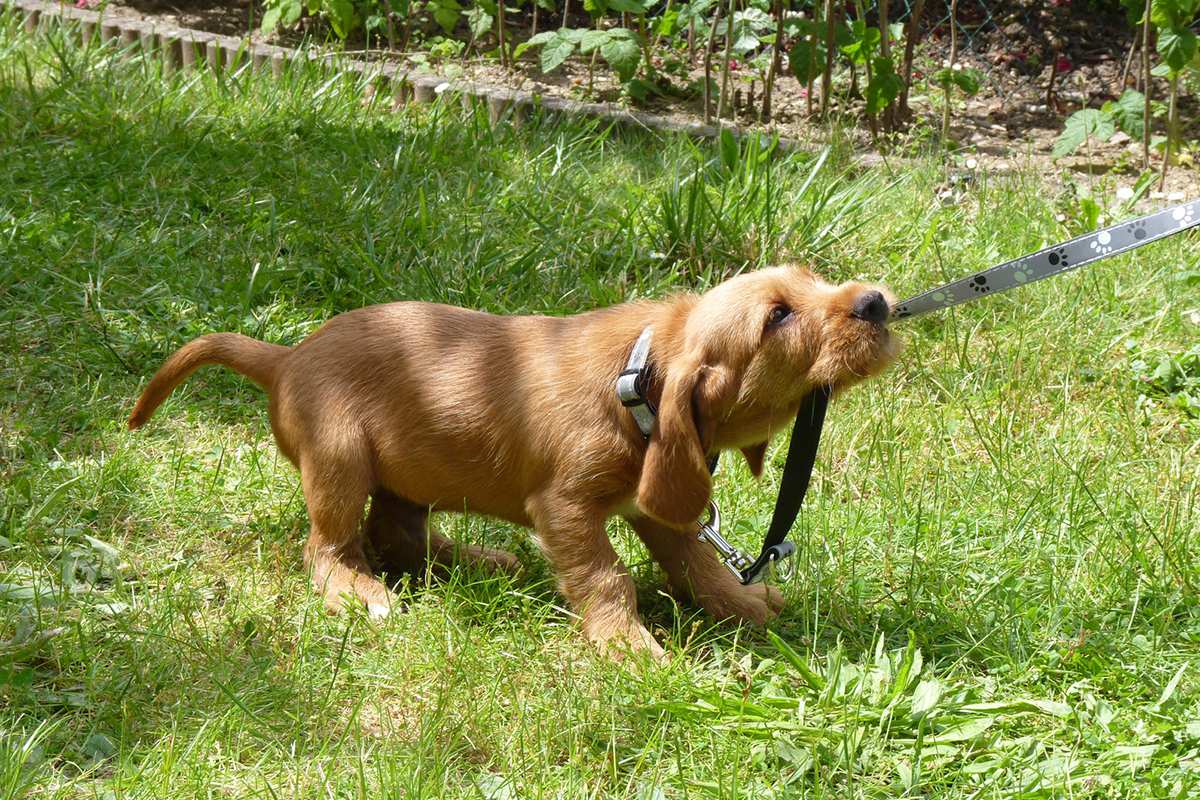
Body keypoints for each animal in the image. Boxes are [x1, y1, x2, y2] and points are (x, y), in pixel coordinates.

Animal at [133, 267, 902, 657]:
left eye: (817, 278)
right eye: (778, 316)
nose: (876, 302)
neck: (636, 379)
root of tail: (286, 358)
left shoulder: (662, 499)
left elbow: (698, 566)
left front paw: (743, 606)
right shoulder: (566, 507)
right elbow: (608, 578)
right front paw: (629, 648)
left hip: (411, 467)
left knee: (398, 535)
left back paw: (482, 564)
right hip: (340, 459)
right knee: (329, 546)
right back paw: (360, 592)